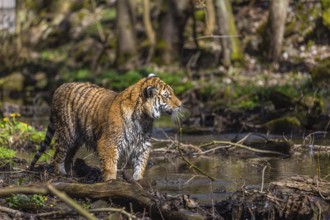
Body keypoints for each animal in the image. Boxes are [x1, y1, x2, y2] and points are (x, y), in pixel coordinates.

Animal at [30, 73, 183, 180]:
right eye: (167, 96)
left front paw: (137, 181)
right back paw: (61, 174)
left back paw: (71, 173)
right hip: (67, 132)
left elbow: (140, 166)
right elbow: (110, 167)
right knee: (58, 155)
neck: (144, 118)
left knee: (68, 157)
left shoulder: (142, 145)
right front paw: (111, 183)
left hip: (76, 139)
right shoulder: (108, 143)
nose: (180, 104)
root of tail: (60, 87)